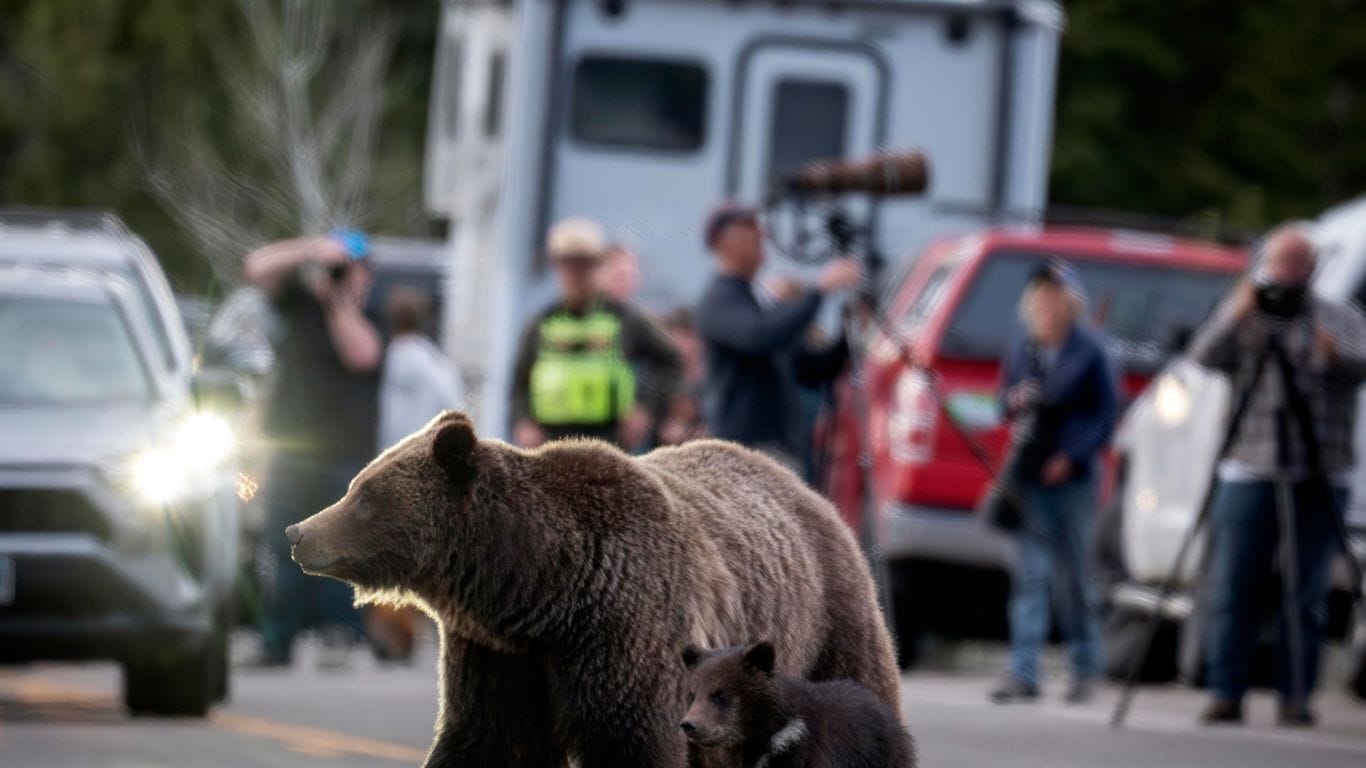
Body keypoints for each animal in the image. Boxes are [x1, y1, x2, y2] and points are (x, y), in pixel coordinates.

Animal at [288, 409, 896, 759]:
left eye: (364, 497)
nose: (298, 533)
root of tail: (811, 493)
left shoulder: (628, 636)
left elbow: (634, 741)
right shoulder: (502, 658)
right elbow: (486, 739)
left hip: (824, 630)